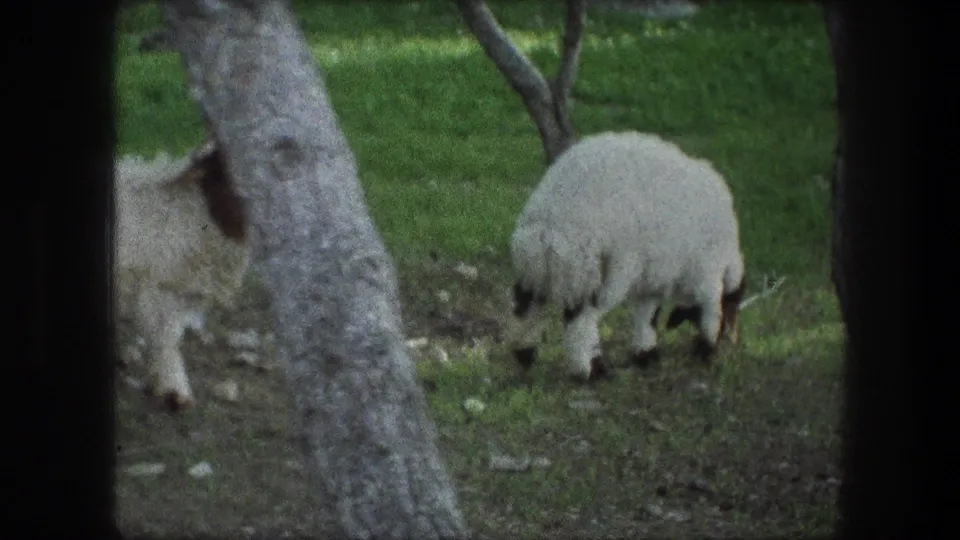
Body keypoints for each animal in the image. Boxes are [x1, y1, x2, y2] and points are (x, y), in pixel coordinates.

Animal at [505, 131, 746, 382]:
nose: (712, 355)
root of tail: (550, 217)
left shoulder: (653, 276)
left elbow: (646, 315)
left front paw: (645, 353)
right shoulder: (704, 271)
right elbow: (708, 309)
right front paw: (704, 347)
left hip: (541, 266)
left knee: (526, 306)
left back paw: (524, 352)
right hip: (601, 267)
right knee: (581, 321)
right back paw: (590, 370)